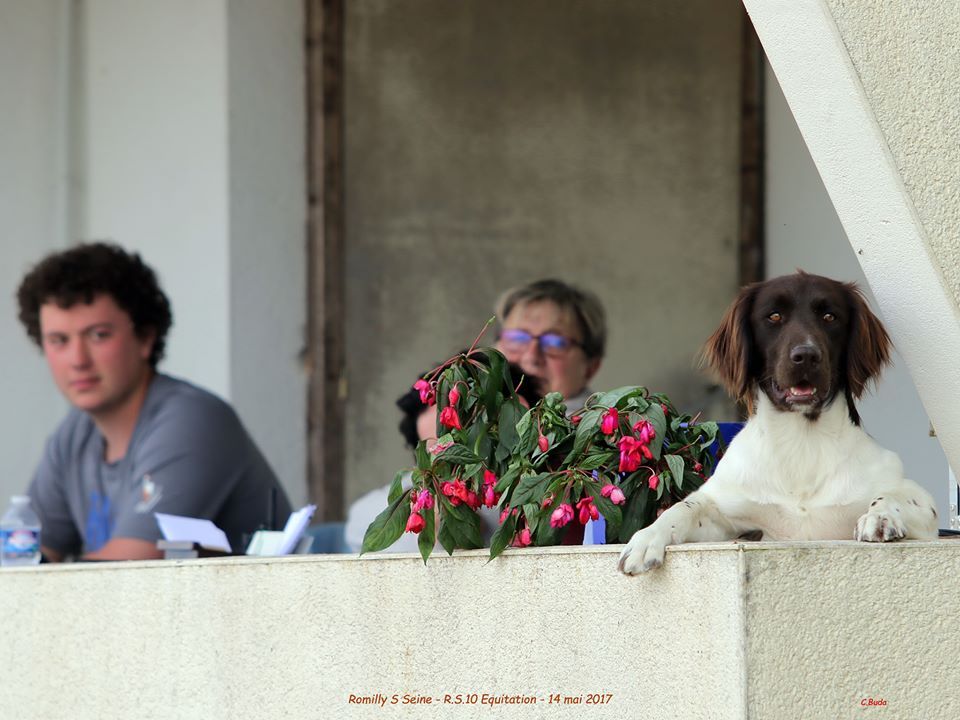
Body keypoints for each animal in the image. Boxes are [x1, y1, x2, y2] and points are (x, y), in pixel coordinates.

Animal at [616, 270, 936, 572]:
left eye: (830, 316)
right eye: (774, 316)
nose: (806, 355)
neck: (802, 442)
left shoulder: (924, 507)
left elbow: (893, 494)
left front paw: (879, 517)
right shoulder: (724, 505)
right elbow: (684, 507)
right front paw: (646, 539)